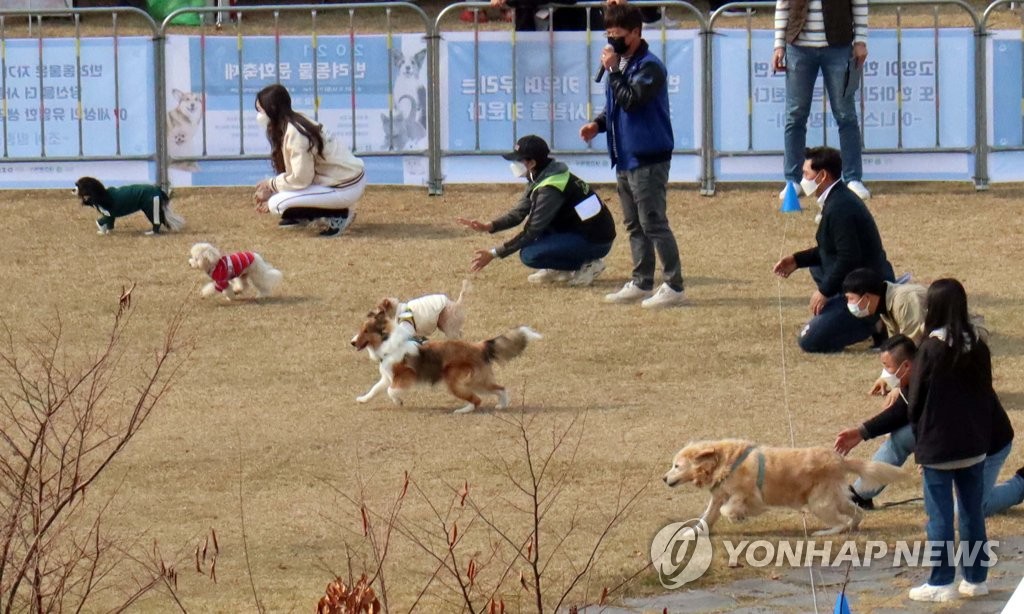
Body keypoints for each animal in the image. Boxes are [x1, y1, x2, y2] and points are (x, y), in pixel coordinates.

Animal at [352, 307, 540, 413]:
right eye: (361, 329)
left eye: (366, 331)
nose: (352, 342)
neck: (388, 342)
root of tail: (479, 347)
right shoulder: (387, 377)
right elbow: (375, 389)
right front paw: (362, 399)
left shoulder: (404, 376)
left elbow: (391, 391)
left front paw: (398, 401)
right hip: (475, 381)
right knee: (500, 388)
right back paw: (502, 405)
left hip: (456, 381)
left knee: (478, 399)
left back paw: (463, 411)